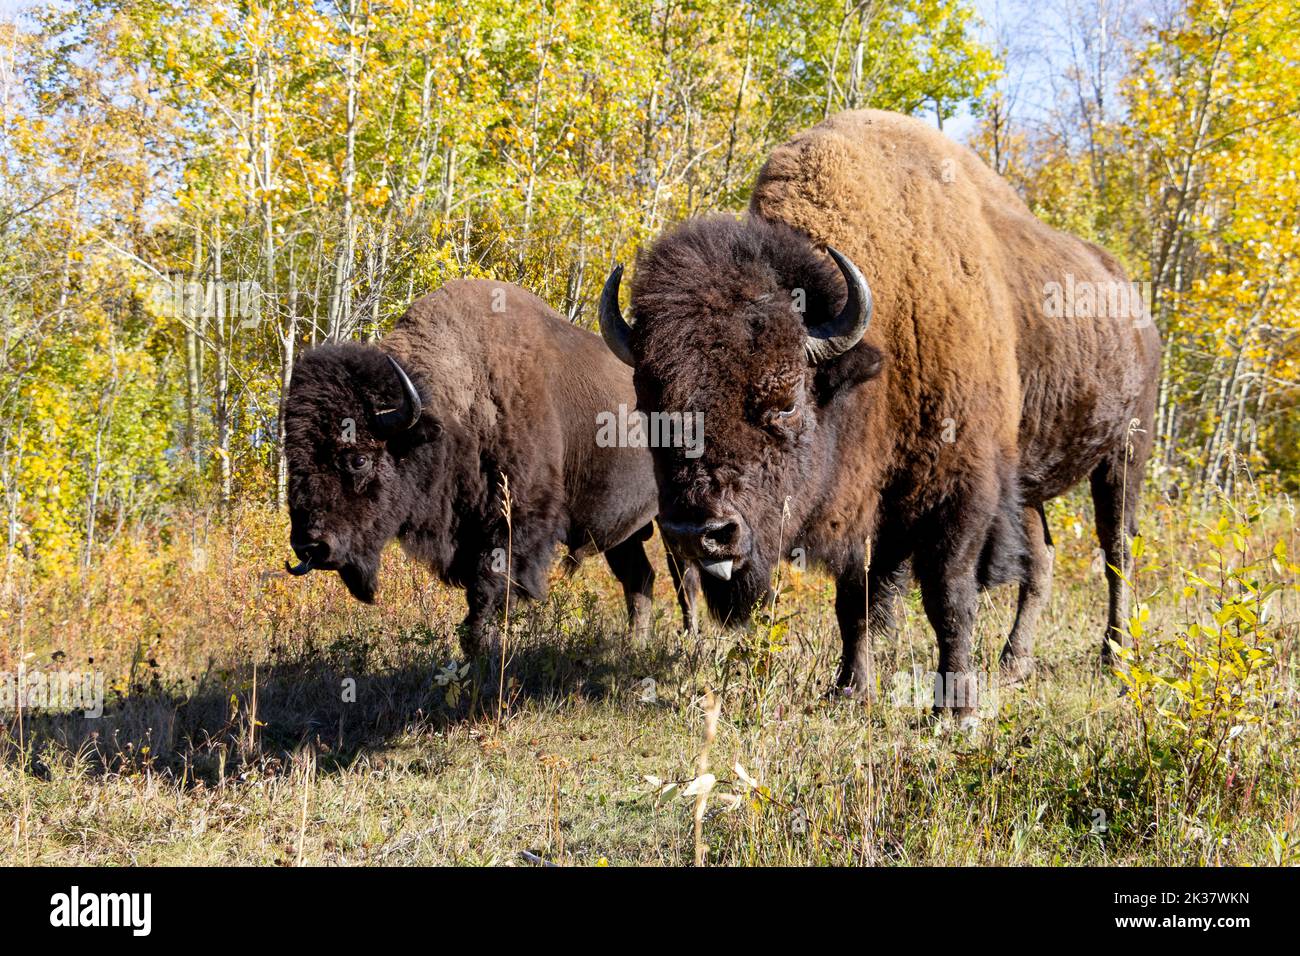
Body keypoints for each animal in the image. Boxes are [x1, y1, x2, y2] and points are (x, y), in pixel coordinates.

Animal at [279, 277, 696, 658]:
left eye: (359, 458)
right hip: (626, 533)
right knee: (640, 579)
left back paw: (692, 643)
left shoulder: (511, 529)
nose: (309, 546)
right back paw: (636, 646)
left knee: (684, 578)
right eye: (293, 457)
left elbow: (486, 600)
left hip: (672, 518)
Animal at [595, 108, 1159, 712]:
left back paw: (1114, 655)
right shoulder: (863, 504)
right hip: (1028, 479)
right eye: (650, 404)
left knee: (1117, 550)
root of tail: (1133, 301)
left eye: (786, 401)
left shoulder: (959, 488)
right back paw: (1014, 664)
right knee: (1044, 557)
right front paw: (850, 687)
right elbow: (854, 598)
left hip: (1124, 452)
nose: (698, 532)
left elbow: (948, 596)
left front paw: (955, 709)